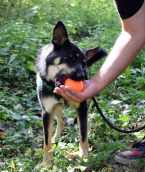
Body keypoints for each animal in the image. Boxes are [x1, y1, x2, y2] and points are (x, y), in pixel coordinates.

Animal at [35, 21, 107, 165]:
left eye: (84, 64)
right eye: (71, 57)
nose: (82, 76)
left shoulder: (82, 107)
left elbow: (83, 136)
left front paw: (84, 157)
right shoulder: (47, 111)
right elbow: (46, 141)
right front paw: (47, 163)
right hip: (54, 107)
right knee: (61, 120)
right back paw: (56, 137)